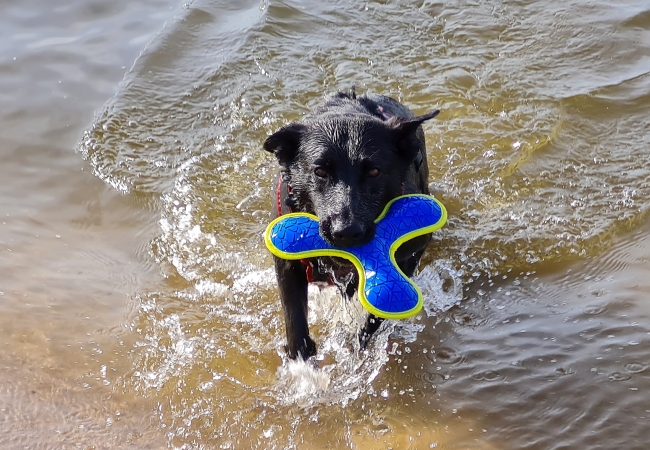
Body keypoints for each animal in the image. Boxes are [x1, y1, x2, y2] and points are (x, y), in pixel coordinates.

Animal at [260, 89, 438, 360]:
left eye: (374, 172)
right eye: (320, 171)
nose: (345, 232)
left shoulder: (412, 252)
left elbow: (375, 316)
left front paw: (359, 341)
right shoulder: (286, 265)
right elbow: (295, 322)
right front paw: (301, 360)